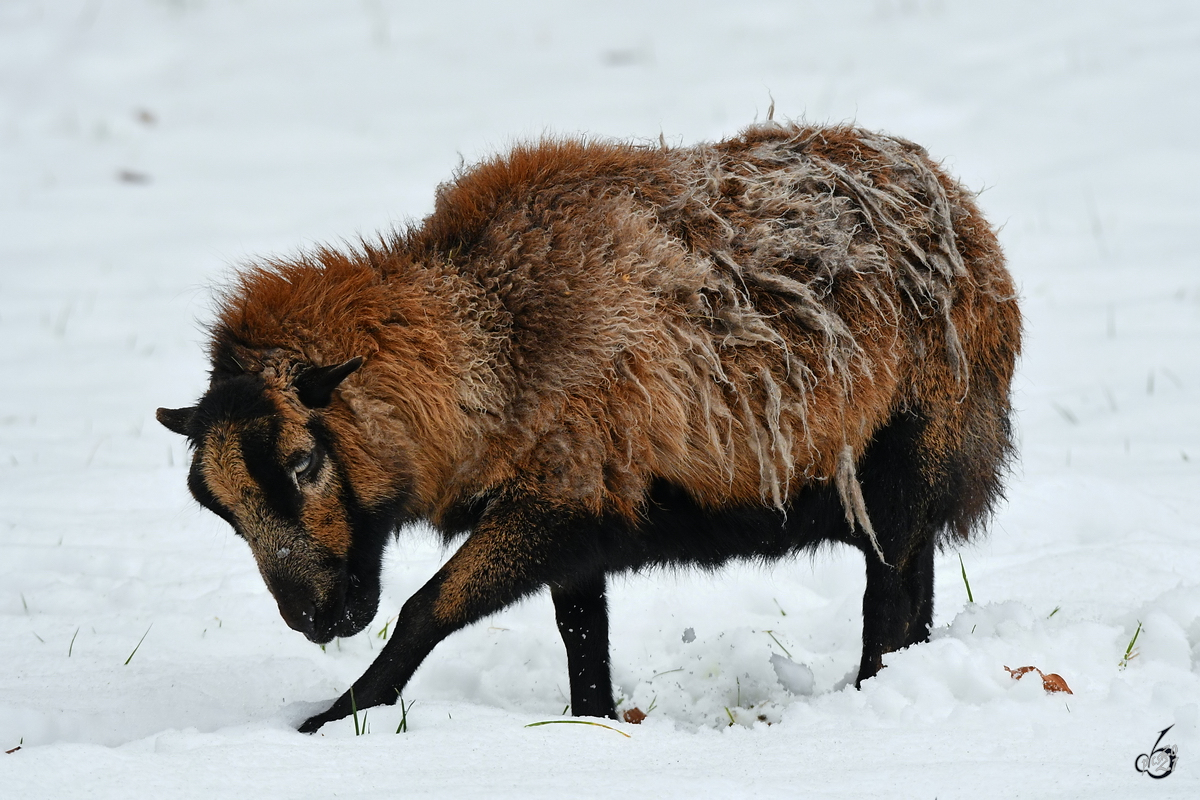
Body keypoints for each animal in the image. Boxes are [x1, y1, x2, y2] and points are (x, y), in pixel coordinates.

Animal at [157, 120, 1022, 734]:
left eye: (304, 462)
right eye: (215, 506)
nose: (316, 620)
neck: (491, 339)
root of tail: (964, 209)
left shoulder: (558, 499)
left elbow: (424, 610)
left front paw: (330, 721)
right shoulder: (582, 521)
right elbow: (581, 640)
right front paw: (596, 728)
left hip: (910, 455)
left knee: (891, 600)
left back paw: (873, 695)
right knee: (913, 590)